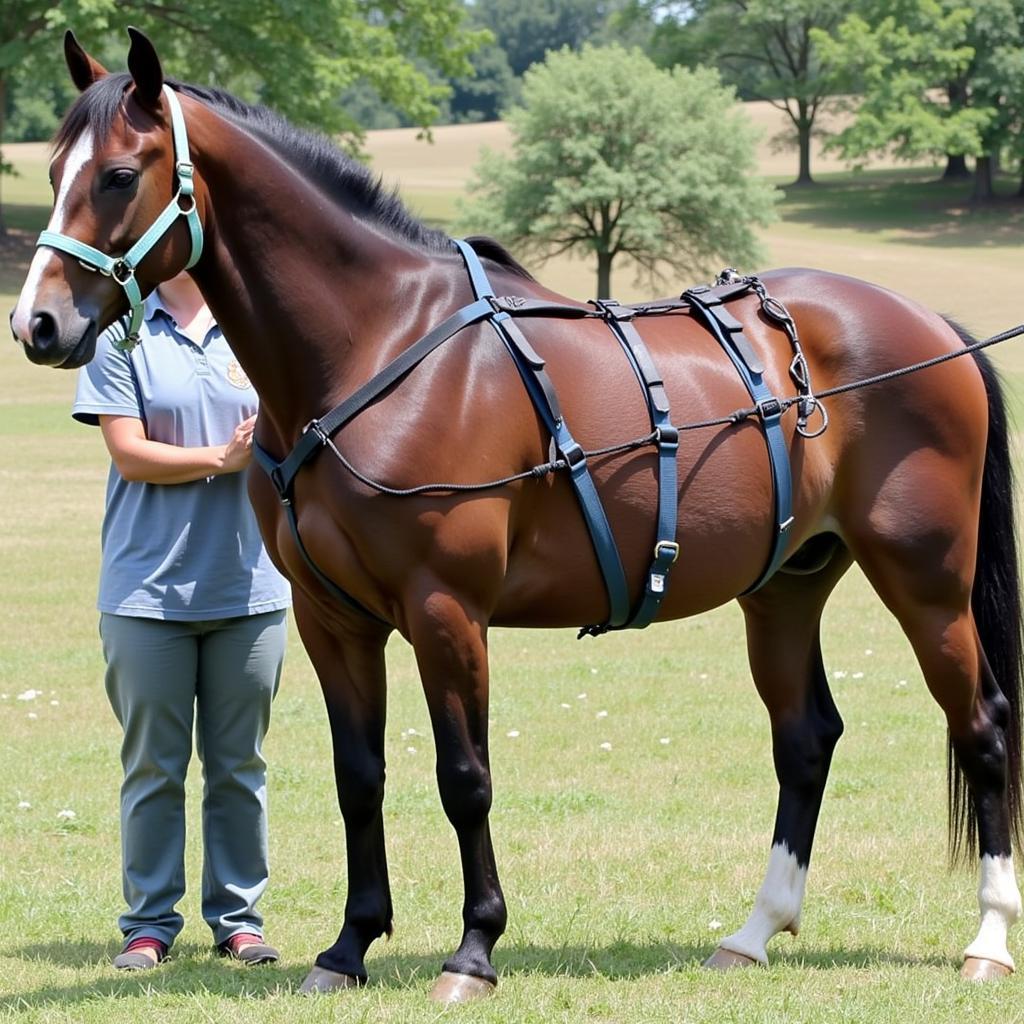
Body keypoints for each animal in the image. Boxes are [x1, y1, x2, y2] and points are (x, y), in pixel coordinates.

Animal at [9, 29, 1024, 999]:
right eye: (52, 171)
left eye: (117, 175)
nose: (36, 325)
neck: (377, 341)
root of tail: (931, 327)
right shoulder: (332, 620)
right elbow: (357, 779)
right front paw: (348, 947)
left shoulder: (446, 609)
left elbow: (464, 780)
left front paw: (473, 950)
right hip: (784, 588)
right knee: (806, 739)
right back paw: (753, 934)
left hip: (926, 584)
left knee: (983, 726)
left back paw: (987, 942)